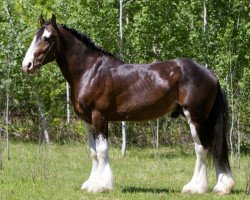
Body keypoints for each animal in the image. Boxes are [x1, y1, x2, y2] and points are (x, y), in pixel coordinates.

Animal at [21, 14, 234, 195]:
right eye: (35, 36)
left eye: (48, 38)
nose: (27, 65)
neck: (90, 71)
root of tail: (210, 74)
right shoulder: (87, 121)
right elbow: (93, 153)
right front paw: (90, 183)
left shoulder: (99, 116)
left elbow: (102, 150)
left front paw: (101, 186)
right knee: (213, 148)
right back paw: (221, 186)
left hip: (195, 117)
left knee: (201, 148)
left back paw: (196, 188)